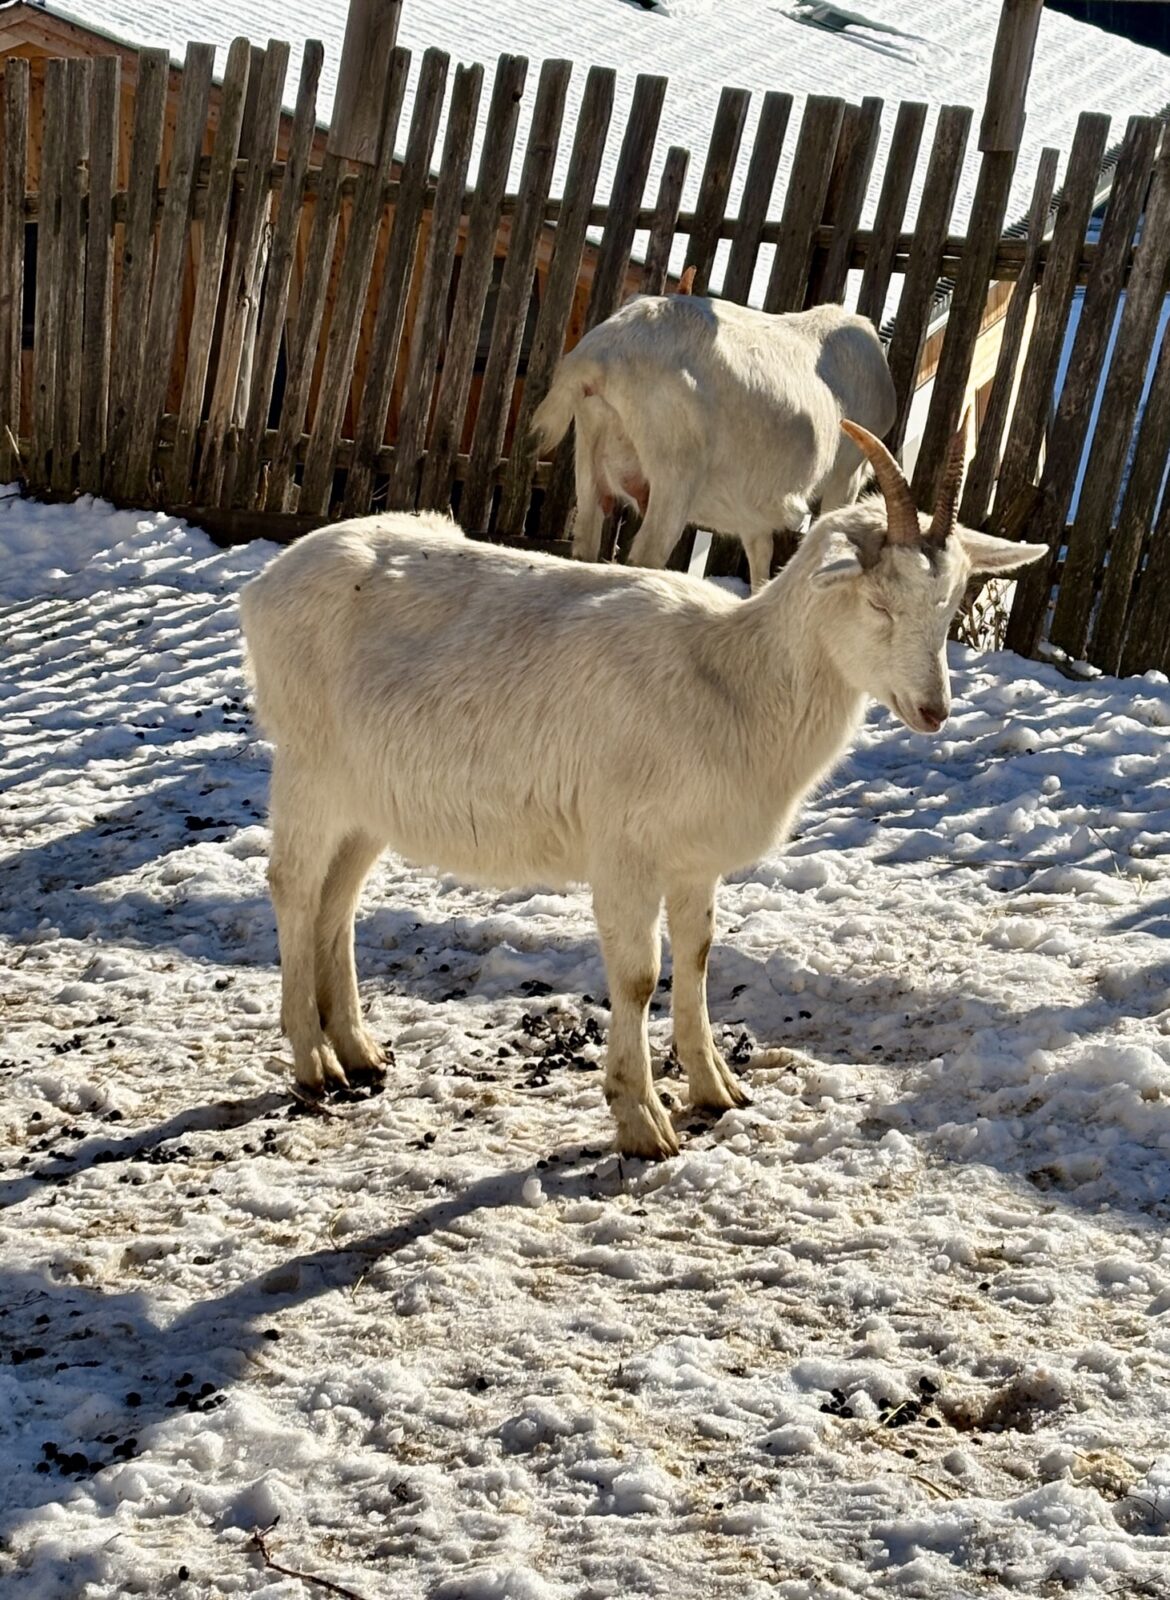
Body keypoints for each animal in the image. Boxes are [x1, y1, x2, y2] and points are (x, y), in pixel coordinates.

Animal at [243, 419, 1049, 1158]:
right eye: (879, 603)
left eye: (950, 603)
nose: (933, 710)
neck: (732, 678)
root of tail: (264, 584)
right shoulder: (624, 848)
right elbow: (637, 977)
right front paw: (643, 1123)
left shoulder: (693, 860)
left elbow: (696, 957)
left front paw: (717, 1090)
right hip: (309, 765)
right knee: (294, 885)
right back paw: (314, 1064)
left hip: (368, 795)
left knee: (338, 897)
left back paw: (359, 1051)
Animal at [534, 292, 902, 588]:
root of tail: (599, 353)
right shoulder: (848, 473)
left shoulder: (754, 506)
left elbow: (760, 556)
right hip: (674, 469)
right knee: (647, 554)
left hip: (590, 449)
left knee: (585, 541)